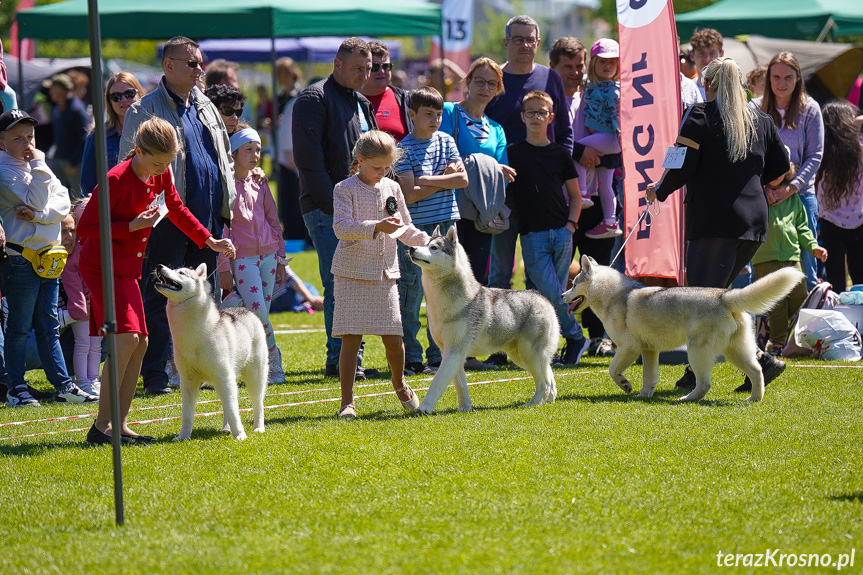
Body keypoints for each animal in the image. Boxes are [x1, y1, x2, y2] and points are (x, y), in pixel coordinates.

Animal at [152, 266, 266, 440]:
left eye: (182, 273)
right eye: (174, 268)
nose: (159, 266)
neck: (194, 335)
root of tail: (246, 310)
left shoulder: (224, 377)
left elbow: (233, 411)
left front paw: (240, 434)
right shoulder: (188, 381)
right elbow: (187, 414)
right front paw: (183, 436)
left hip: (254, 377)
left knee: (257, 402)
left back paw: (258, 427)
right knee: (227, 405)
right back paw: (226, 428)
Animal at [408, 226, 556, 414]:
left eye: (434, 248)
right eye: (423, 244)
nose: (411, 248)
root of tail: (543, 299)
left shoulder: (454, 351)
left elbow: (437, 382)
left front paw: (424, 407)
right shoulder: (452, 353)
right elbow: (460, 385)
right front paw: (465, 407)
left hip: (529, 355)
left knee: (544, 384)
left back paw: (532, 404)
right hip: (522, 356)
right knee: (550, 377)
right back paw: (548, 400)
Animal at [560, 256, 804, 400]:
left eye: (573, 284)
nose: (562, 296)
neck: (613, 295)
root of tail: (724, 296)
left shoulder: (628, 348)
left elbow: (612, 370)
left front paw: (625, 385)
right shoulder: (649, 350)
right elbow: (649, 378)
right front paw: (643, 395)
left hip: (697, 352)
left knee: (705, 384)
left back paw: (687, 399)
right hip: (735, 351)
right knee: (757, 371)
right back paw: (754, 397)